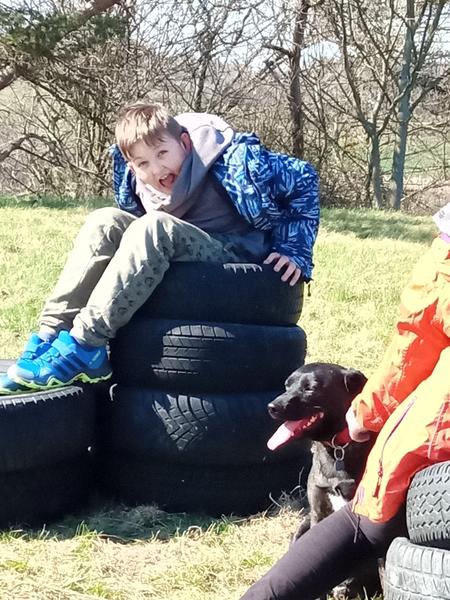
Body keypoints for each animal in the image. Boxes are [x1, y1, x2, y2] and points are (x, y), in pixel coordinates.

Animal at [267, 362, 381, 600]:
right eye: (286, 385)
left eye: (310, 388)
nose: (272, 406)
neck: (338, 448)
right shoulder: (318, 513)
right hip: (303, 526)